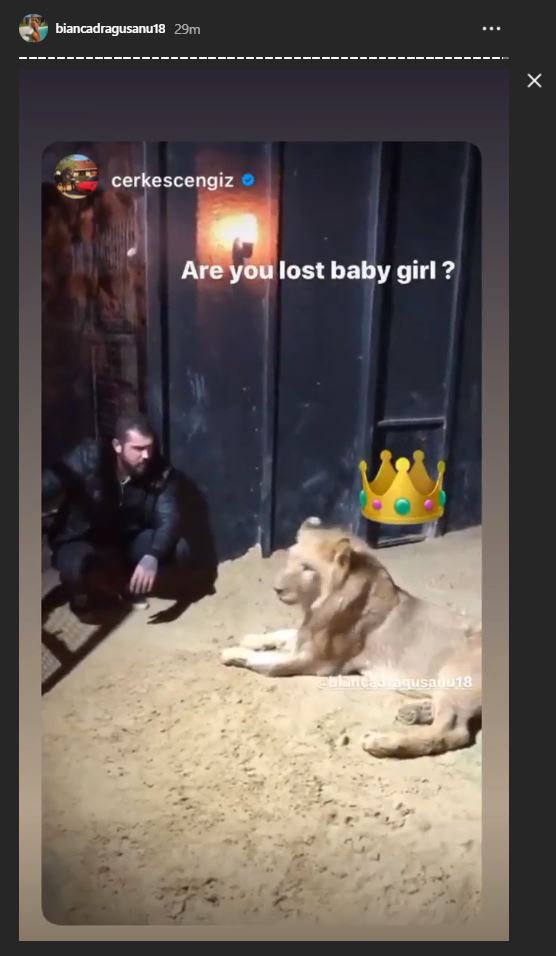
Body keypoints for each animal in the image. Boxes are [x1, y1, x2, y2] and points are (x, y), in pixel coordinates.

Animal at [221, 517, 481, 759]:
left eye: (307, 567)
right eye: (290, 560)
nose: (277, 589)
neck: (318, 603)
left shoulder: (316, 661)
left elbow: (265, 660)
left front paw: (232, 651)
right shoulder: (307, 634)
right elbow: (282, 634)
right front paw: (251, 639)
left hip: (453, 673)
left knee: (451, 731)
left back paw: (382, 742)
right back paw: (412, 713)